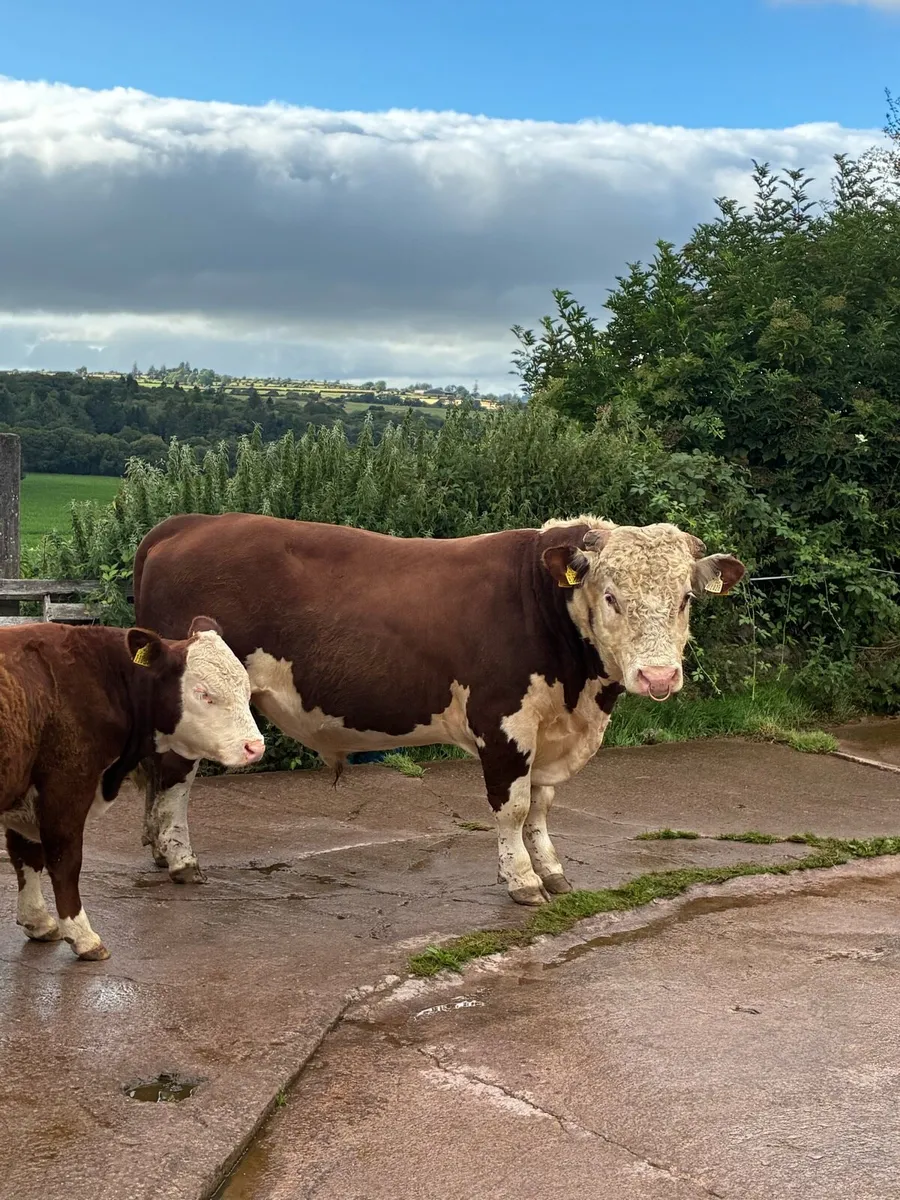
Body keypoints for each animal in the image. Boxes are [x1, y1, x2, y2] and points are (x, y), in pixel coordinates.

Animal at [0, 618, 264, 960]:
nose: (255, 747)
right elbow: (64, 860)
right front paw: (83, 935)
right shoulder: (66, 785)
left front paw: (38, 920)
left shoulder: (28, 790)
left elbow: (26, 855)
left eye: (246, 690)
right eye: (204, 694)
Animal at [133, 513, 745, 905]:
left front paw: (552, 871)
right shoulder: (504, 723)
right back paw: (180, 860)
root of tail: (185, 524)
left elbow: (542, 806)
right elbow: (513, 809)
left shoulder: (549, 734)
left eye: (685, 599)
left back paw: (161, 851)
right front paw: (522, 882)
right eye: (611, 596)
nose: (658, 676)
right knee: (175, 779)